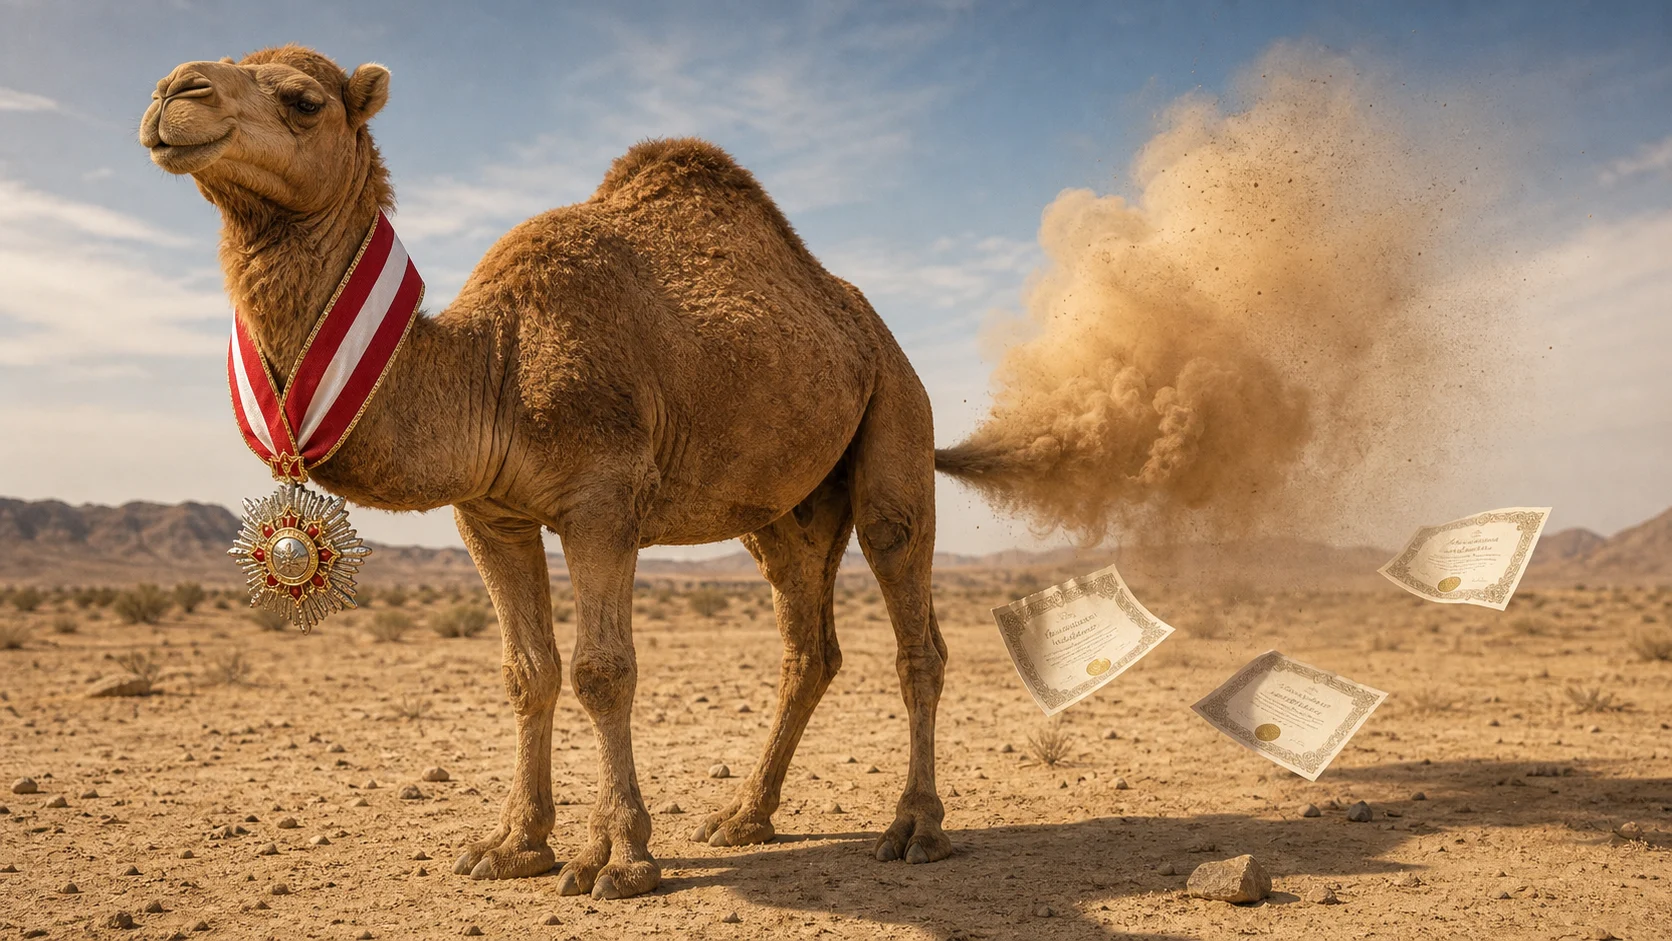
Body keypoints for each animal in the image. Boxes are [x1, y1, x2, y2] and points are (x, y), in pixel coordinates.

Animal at [140, 45, 999, 900]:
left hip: (897, 414)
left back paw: (915, 827)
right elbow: (528, 671)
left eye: (303, 101)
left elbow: (601, 671)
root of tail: (870, 327)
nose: (173, 91)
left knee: (912, 617)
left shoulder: (602, 502)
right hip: (784, 508)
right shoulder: (489, 513)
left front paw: (617, 856)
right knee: (807, 643)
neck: (494, 362)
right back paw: (743, 816)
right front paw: (512, 843)